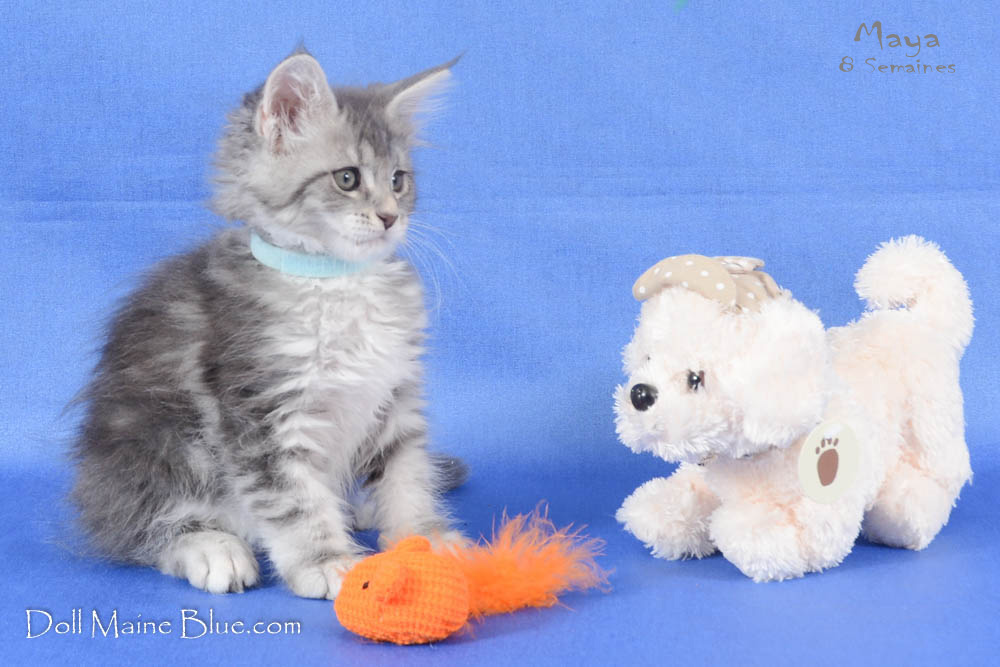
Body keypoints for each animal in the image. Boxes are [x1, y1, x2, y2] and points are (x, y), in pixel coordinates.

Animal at [71, 51, 464, 599]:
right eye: (347, 179)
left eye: (398, 180)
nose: (389, 217)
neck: (334, 280)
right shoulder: (263, 414)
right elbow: (295, 501)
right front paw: (328, 562)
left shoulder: (394, 396)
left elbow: (405, 475)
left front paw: (425, 538)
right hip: (154, 447)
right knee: (134, 527)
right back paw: (211, 546)